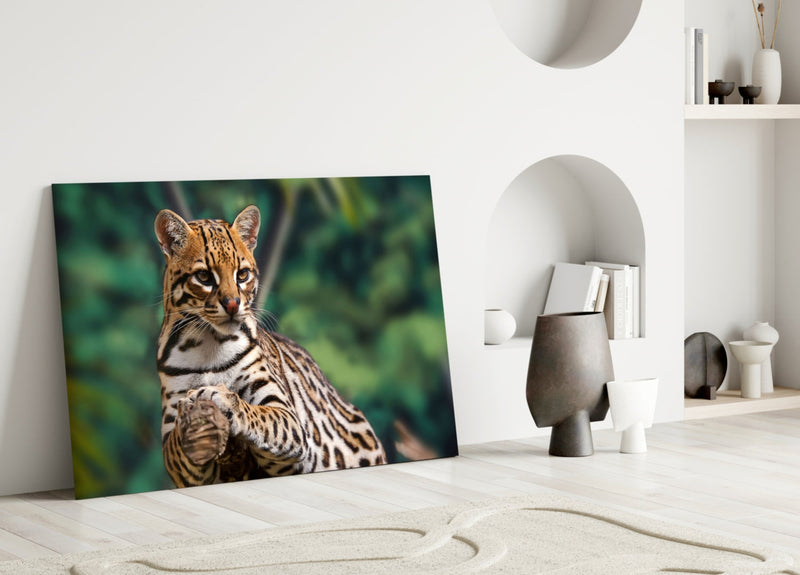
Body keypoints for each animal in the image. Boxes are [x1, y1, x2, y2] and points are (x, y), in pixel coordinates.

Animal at [154, 204, 386, 488]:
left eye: (242, 275)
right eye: (204, 276)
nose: (232, 305)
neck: (209, 344)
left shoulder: (289, 418)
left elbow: (259, 415)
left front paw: (221, 397)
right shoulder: (174, 447)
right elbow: (177, 445)